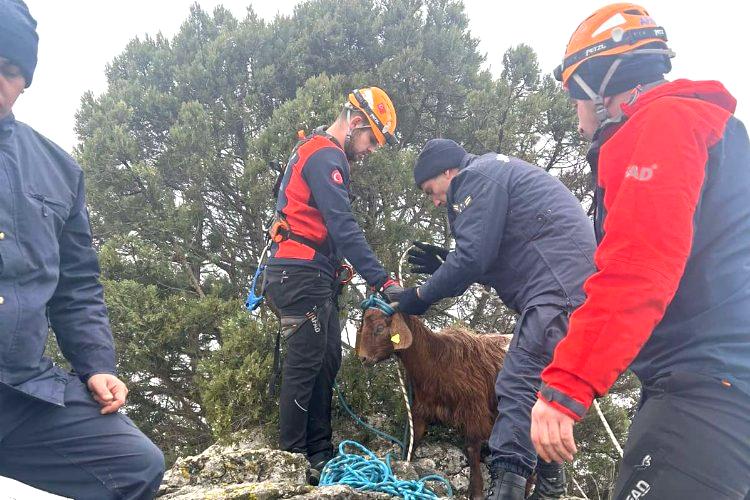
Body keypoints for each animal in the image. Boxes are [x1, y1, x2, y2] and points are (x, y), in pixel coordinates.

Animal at [356, 310, 512, 498]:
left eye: (380, 328)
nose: (363, 358)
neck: (437, 363)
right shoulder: (421, 408)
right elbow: (414, 439)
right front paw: (404, 469)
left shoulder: (475, 412)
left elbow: (471, 449)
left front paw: (476, 492)